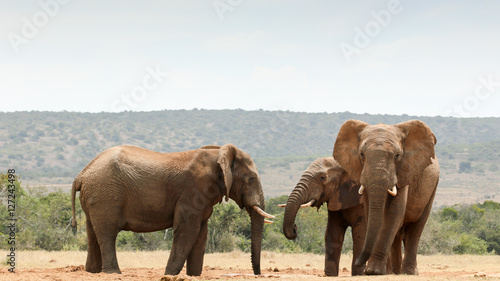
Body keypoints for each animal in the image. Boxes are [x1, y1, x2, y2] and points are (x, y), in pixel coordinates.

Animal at [70, 143, 274, 274]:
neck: (219, 154)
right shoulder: (193, 192)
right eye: (252, 179)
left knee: (92, 232)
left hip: (95, 196)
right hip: (106, 195)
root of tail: (81, 174)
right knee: (107, 233)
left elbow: (202, 234)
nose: (258, 274)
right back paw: (113, 273)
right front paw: (170, 275)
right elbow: (187, 230)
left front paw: (194, 276)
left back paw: (92, 272)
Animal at [334, 118, 440, 274]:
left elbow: (393, 212)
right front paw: (376, 272)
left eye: (397, 156)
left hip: (432, 186)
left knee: (416, 227)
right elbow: (372, 213)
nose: (359, 263)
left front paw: (373, 271)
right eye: (362, 155)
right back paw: (393, 271)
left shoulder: (404, 171)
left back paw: (408, 272)